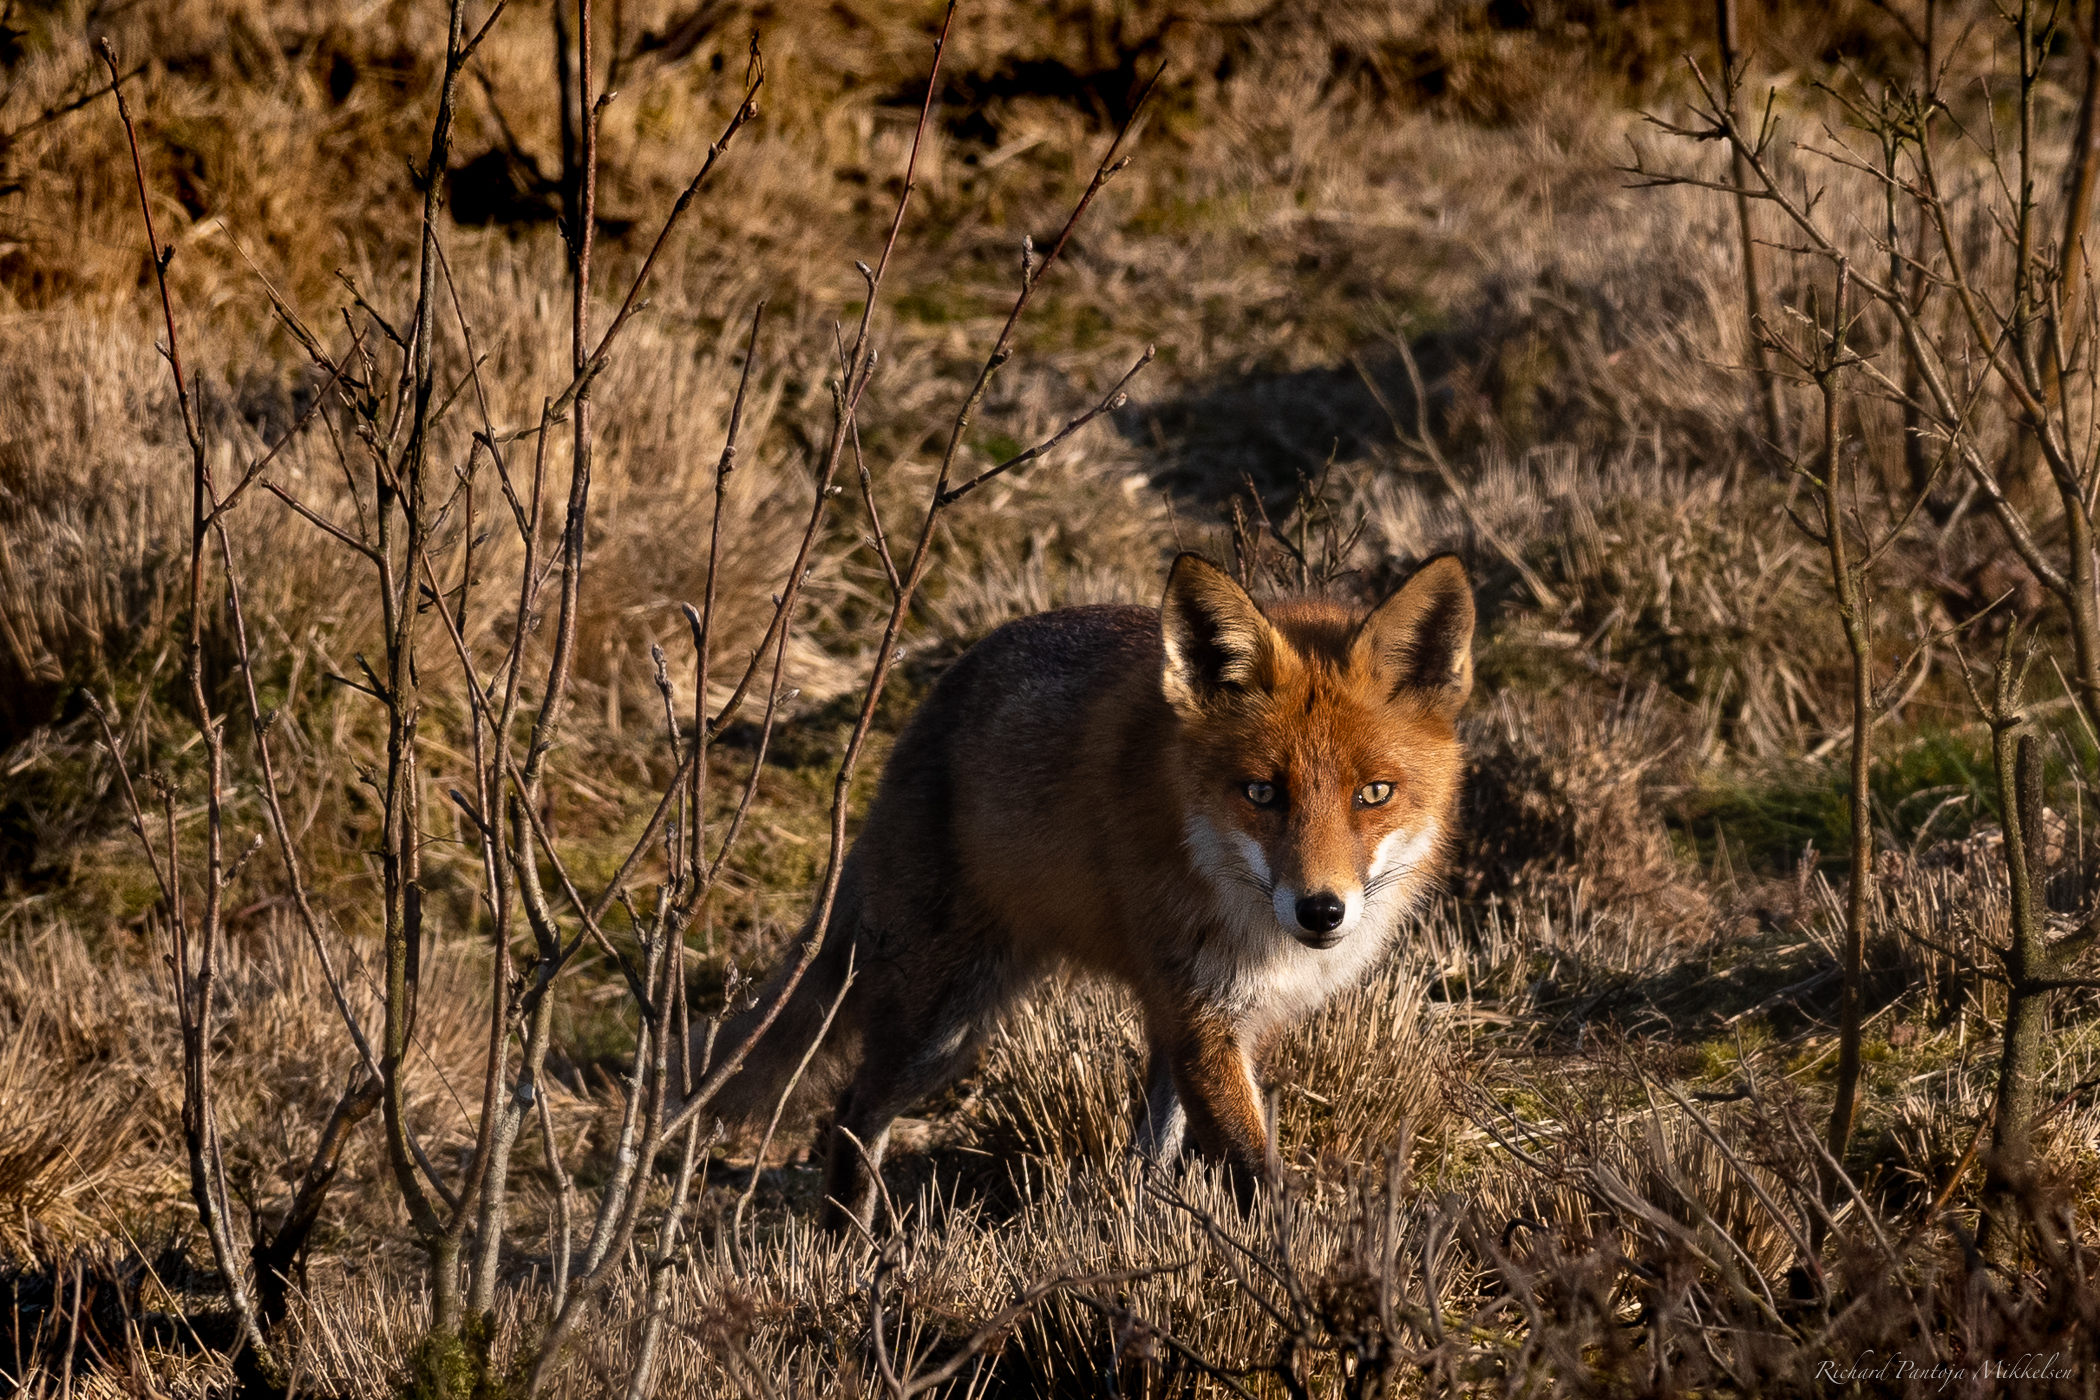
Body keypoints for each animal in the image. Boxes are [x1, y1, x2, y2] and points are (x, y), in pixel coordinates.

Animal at [706, 551, 1475, 1232]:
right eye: (1261, 793)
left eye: (1374, 794)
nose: (1320, 911)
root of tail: (929, 709)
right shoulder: (1203, 1019)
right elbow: (1256, 1177)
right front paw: (1299, 1275)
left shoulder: (1195, 1017)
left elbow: (1179, 1154)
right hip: (942, 1023)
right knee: (850, 1110)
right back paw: (848, 1254)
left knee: (1141, 1151)